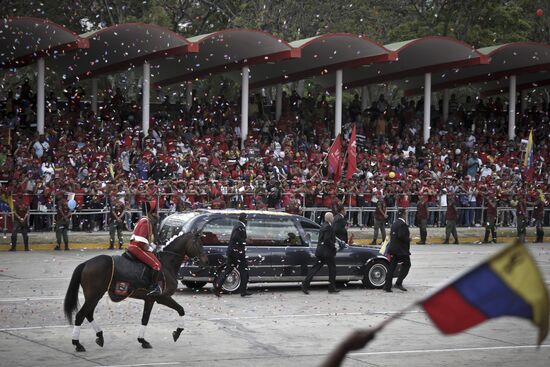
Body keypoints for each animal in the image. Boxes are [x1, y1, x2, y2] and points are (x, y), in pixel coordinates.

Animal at [63, 230, 209, 354]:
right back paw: (77, 343)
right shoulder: (162, 297)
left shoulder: (150, 299)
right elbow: (181, 310)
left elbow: (145, 319)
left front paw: (142, 340)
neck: (167, 264)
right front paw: (177, 332)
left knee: (88, 314)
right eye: (198, 243)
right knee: (80, 315)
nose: (205, 260)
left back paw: (100, 336)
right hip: (94, 295)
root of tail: (87, 263)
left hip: (95, 296)